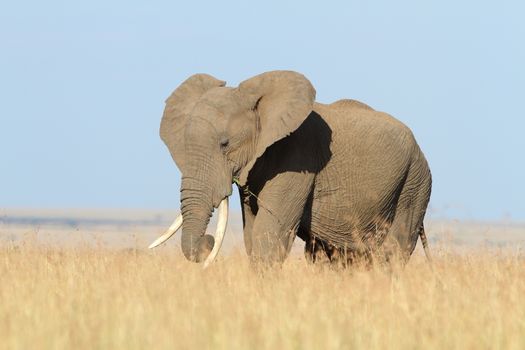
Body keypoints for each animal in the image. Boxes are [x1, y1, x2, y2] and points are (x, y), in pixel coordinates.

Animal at [148, 71, 430, 268]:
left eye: (225, 144)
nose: (208, 242)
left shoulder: (298, 159)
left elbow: (269, 232)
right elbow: (252, 233)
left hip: (414, 184)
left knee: (393, 251)